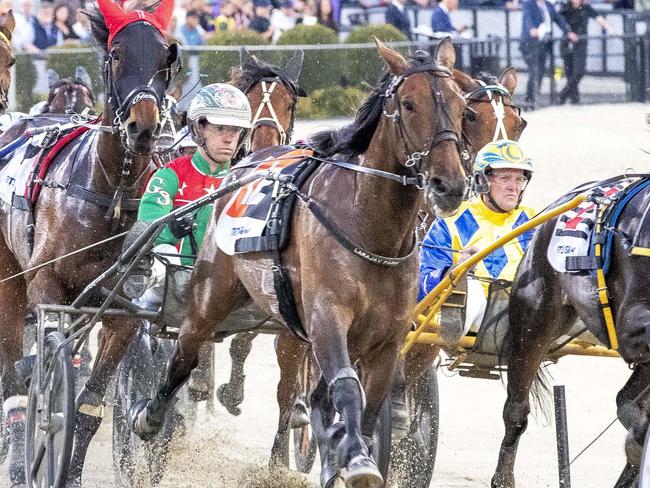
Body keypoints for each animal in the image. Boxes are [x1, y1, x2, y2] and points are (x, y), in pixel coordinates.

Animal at [0, 1, 177, 486]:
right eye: (116, 54)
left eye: (167, 59)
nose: (143, 128)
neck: (108, 194)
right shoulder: (45, 286)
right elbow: (46, 373)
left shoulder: (125, 311)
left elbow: (89, 406)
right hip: (8, 281)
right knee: (12, 377)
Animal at [129, 40, 468, 488]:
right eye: (410, 104)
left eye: (462, 107)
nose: (450, 185)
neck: (369, 225)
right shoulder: (326, 316)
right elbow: (344, 389)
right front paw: (355, 460)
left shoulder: (387, 337)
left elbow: (366, 403)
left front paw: (350, 453)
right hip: (210, 294)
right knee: (184, 354)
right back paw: (150, 417)